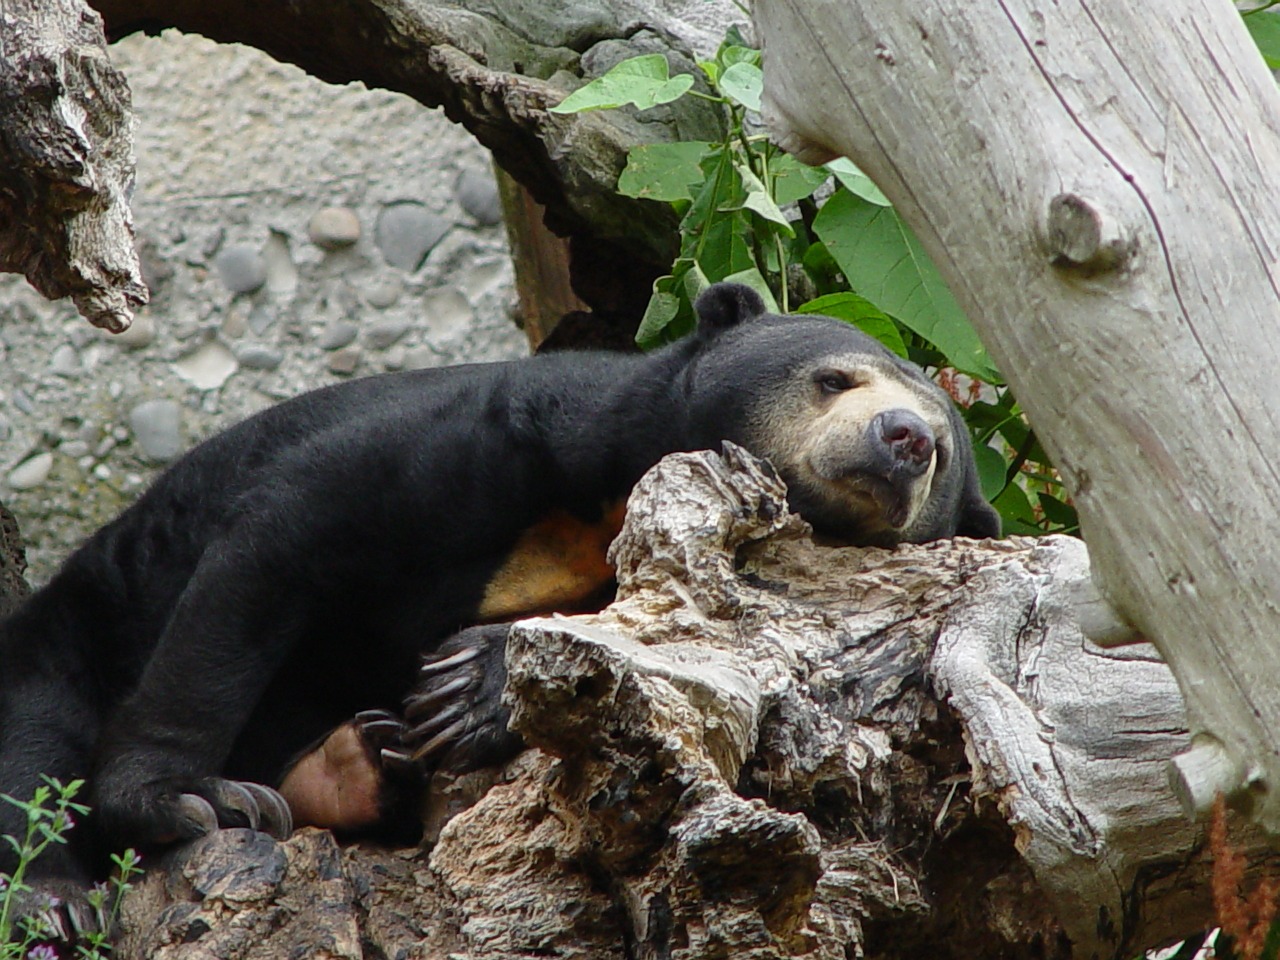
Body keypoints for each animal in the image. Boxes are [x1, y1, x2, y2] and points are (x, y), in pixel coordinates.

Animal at [0, 280, 993, 931]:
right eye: (835, 379)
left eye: (944, 449)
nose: (904, 439)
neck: (605, 512)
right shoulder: (495, 434)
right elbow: (277, 547)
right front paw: (186, 800)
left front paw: (465, 692)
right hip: (75, 625)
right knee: (34, 737)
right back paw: (56, 900)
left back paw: (357, 763)